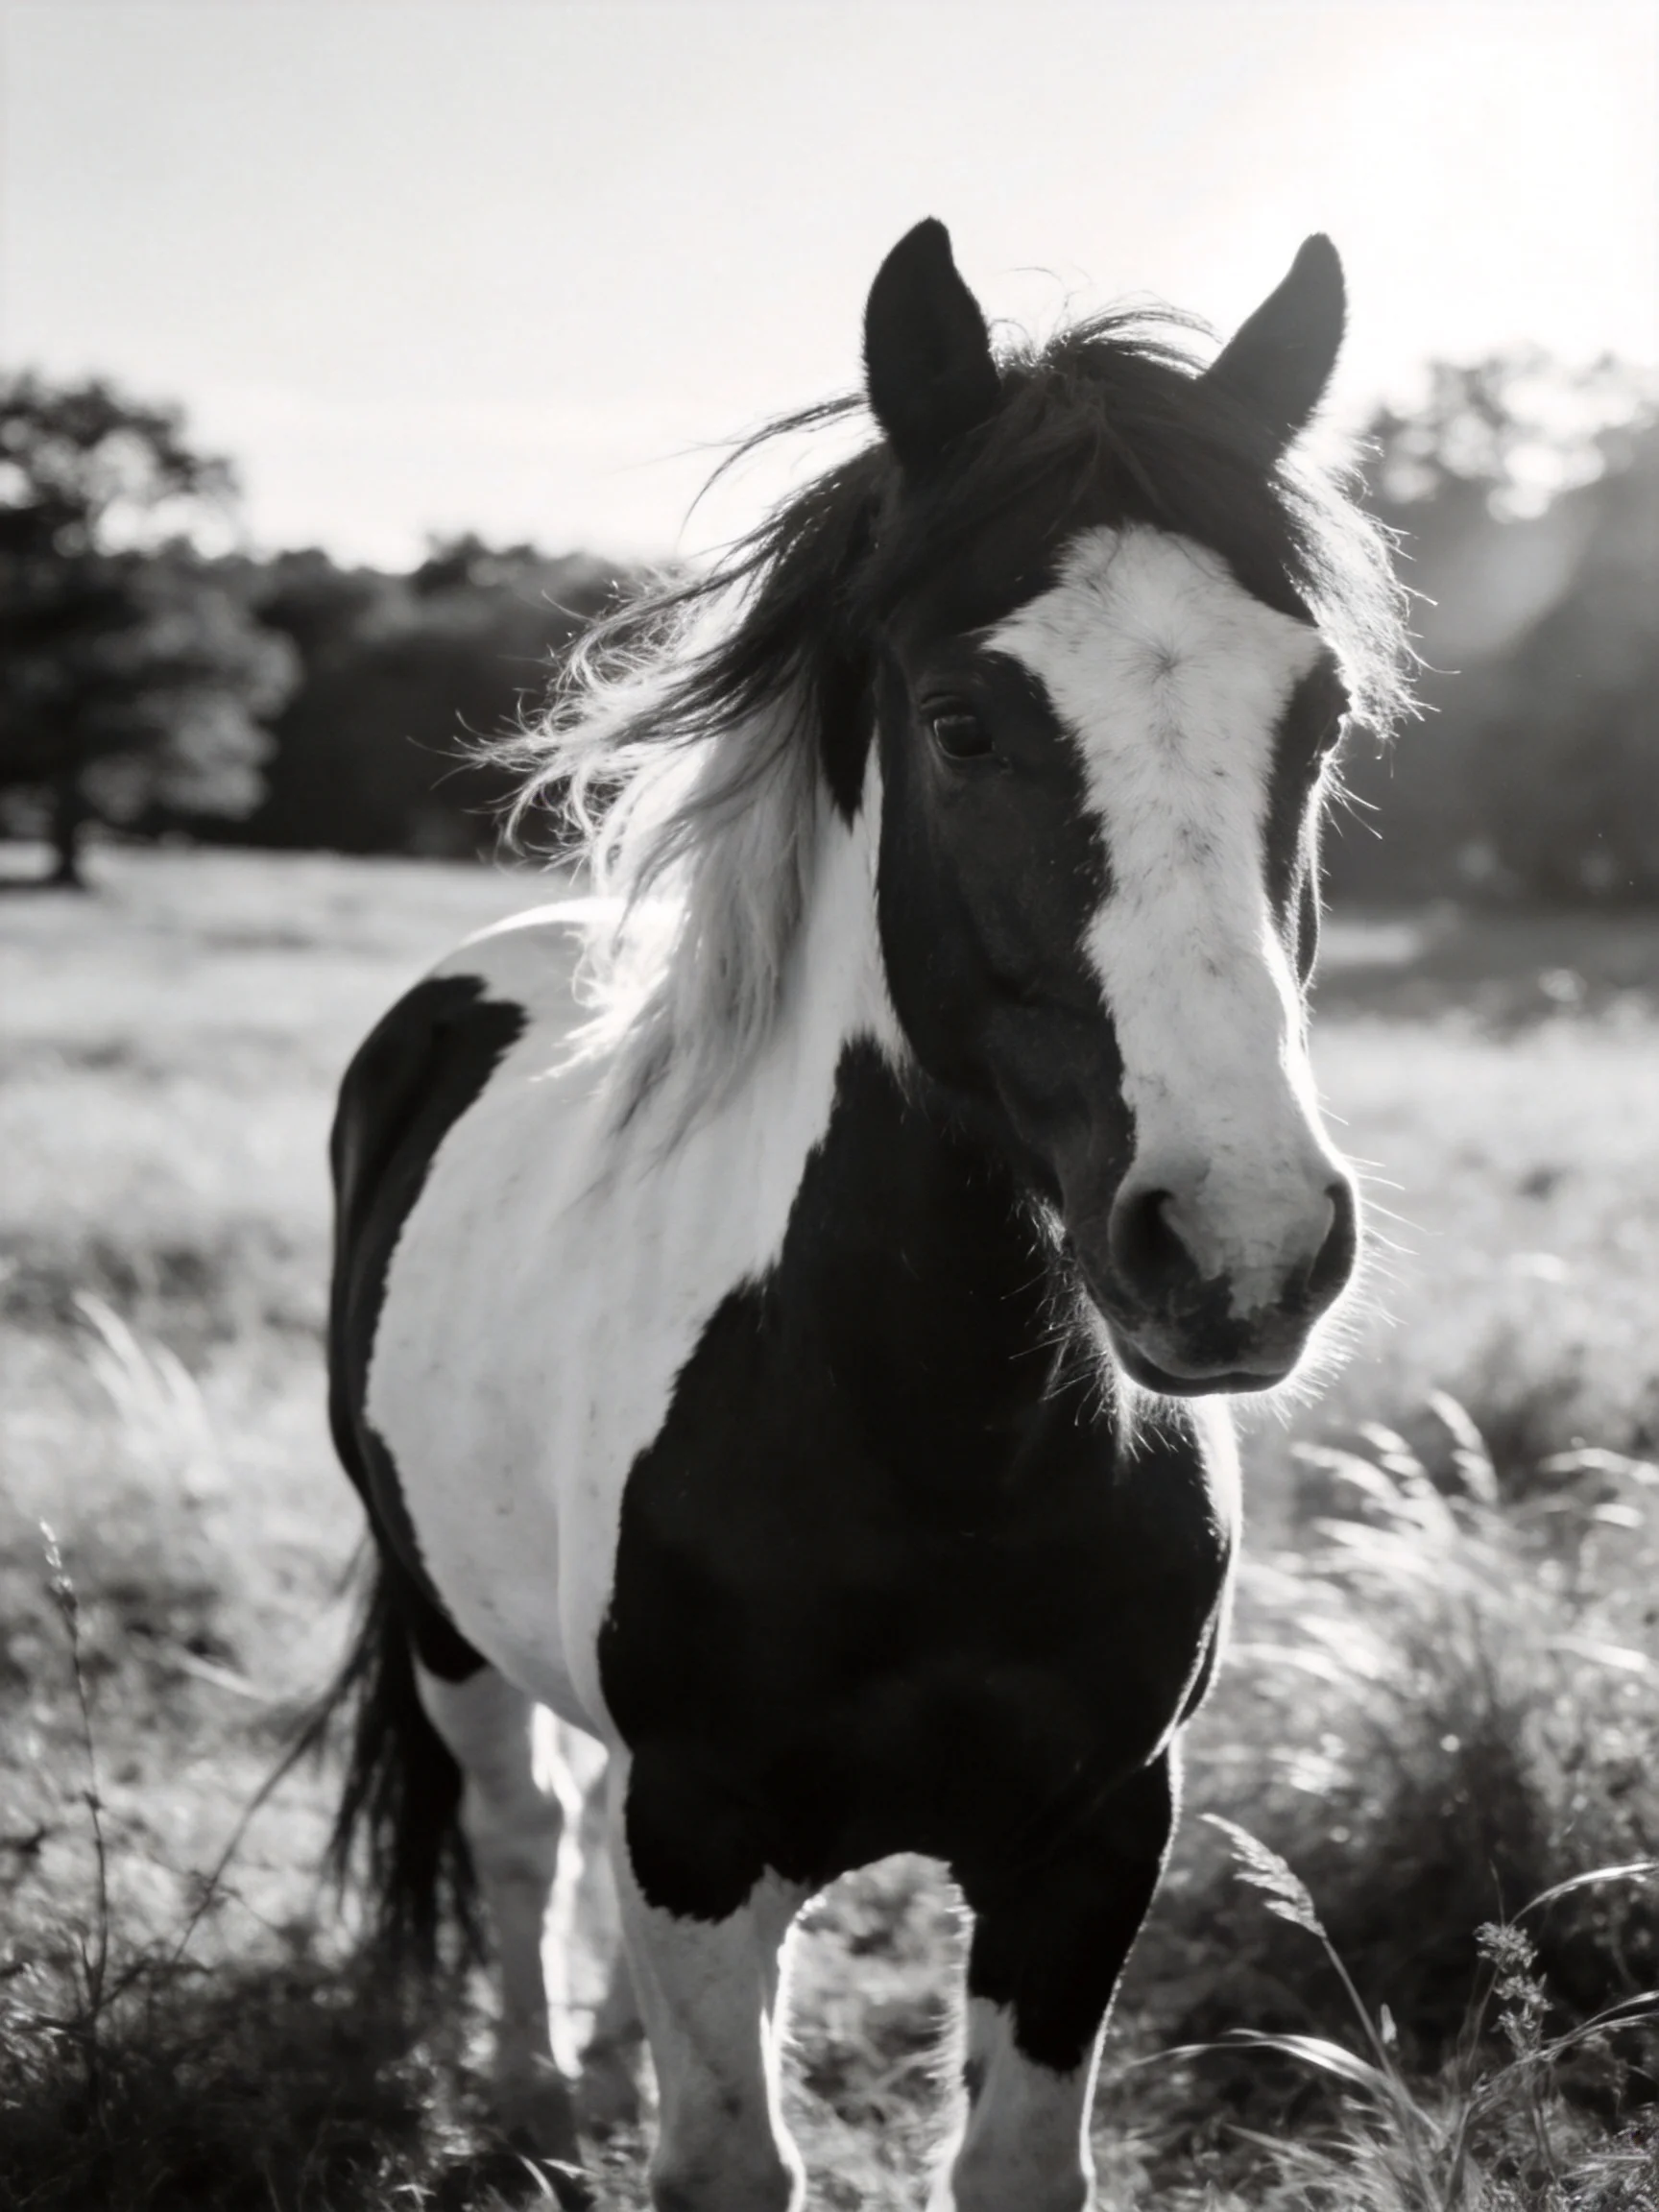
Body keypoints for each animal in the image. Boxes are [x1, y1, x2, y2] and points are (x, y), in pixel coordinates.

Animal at [321, 218, 1408, 2210]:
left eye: (1316, 718)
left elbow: (1003, 2160)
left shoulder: (1092, 1835)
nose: (1239, 1243)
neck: (932, 1447)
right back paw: (529, 2088)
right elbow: (726, 2154)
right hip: (448, 1628)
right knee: (521, 1830)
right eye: (961, 722)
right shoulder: (700, 1824)